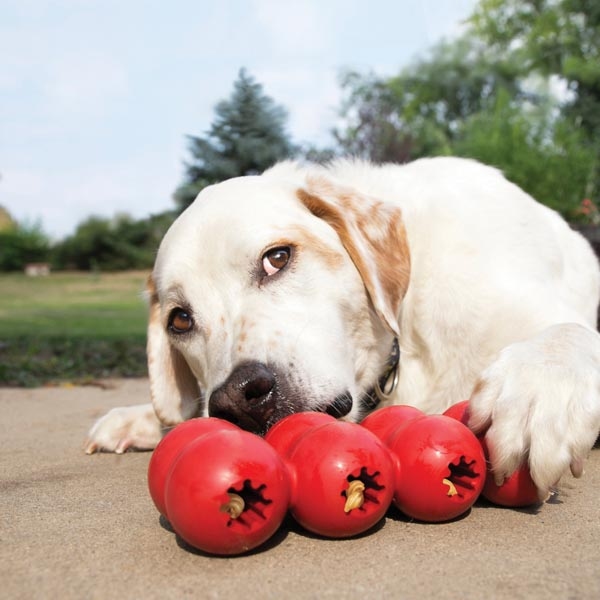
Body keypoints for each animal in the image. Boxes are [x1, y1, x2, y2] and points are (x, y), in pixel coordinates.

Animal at [84, 157, 600, 500]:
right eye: (181, 319)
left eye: (277, 257)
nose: (236, 398)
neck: (405, 337)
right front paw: (145, 418)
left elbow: (569, 336)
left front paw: (537, 393)